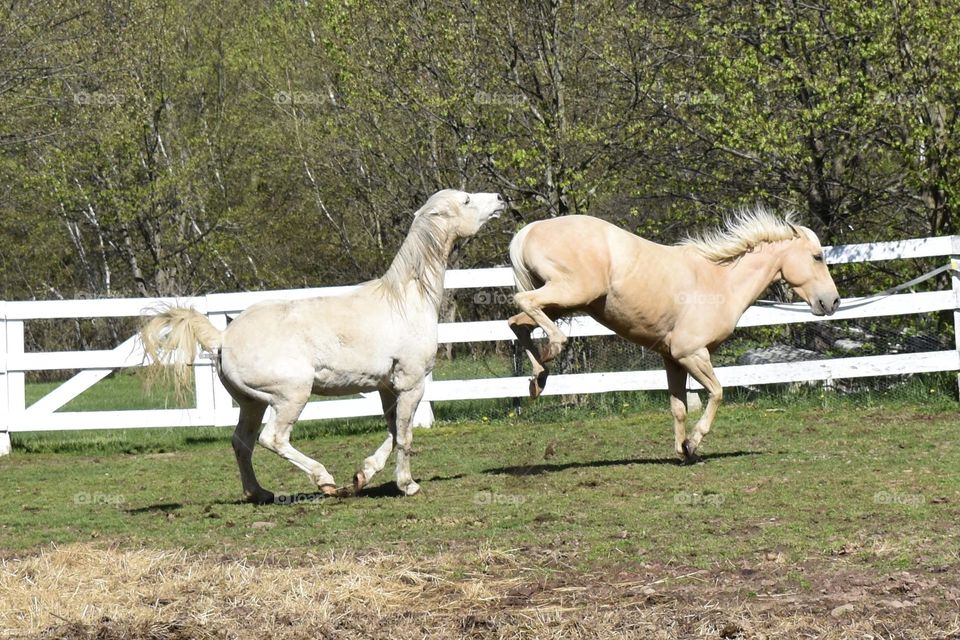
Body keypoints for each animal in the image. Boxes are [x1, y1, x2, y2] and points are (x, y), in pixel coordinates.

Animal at [142, 189, 506, 500]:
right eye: (466, 199)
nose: (500, 199)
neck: (405, 300)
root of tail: (223, 337)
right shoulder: (412, 383)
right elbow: (404, 435)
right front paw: (407, 485)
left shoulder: (387, 387)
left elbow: (392, 432)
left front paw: (362, 476)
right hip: (291, 396)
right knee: (272, 439)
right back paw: (325, 481)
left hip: (251, 403)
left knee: (242, 442)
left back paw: (259, 493)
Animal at [510, 212, 840, 462]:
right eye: (817, 256)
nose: (833, 302)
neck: (720, 281)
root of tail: (528, 230)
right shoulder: (692, 354)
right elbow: (717, 392)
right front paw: (693, 444)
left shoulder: (672, 358)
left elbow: (678, 407)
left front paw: (683, 451)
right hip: (571, 293)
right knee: (523, 301)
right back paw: (552, 349)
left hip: (563, 302)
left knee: (517, 323)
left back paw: (538, 379)